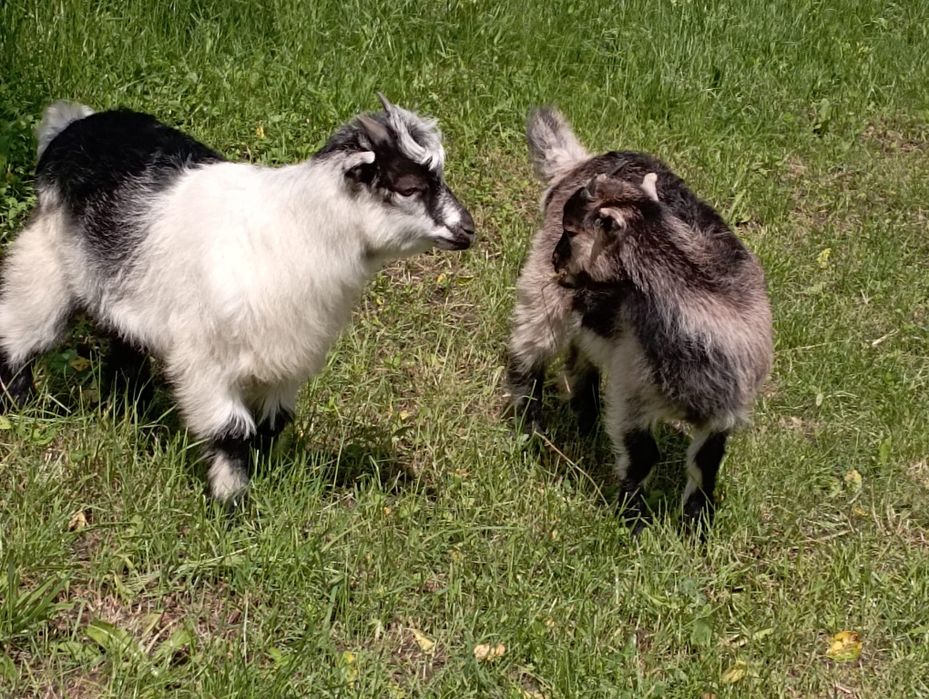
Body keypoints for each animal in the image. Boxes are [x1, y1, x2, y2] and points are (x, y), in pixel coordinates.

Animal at [0, 94, 475, 504]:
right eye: (409, 186)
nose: (468, 229)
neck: (298, 230)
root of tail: (70, 128)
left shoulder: (286, 358)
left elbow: (271, 424)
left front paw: (261, 480)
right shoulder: (206, 359)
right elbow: (231, 431)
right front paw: (232, 506)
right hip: (49, 260)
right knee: (19, 328)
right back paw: (21, 406)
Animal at [505, 108, 772, 530]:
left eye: (571, 231)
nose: (557, 260)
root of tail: (579, 163)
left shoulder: (724, 408)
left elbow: (706, 464)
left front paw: (697, 525)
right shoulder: (633, 390)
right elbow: (643, 453)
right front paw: (633, 519)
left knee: (581, 356)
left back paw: (585, 420)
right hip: (542, 295)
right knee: (528, 351)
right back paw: (530, 430)